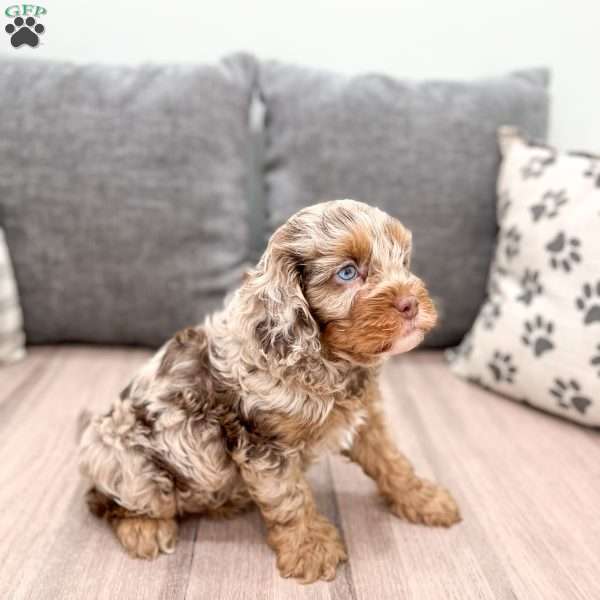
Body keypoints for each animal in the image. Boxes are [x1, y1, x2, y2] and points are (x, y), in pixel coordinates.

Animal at [78, 199, 460, 584]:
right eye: (348, 273)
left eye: (403, 262)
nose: (412, 303)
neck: (325, 359)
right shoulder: (263, 444)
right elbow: (289, 497)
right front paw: (310, 548)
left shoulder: (365, 417)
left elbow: (392, 461)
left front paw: (423, 498)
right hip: (125, 462)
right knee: (107, 501)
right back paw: (144, 528)